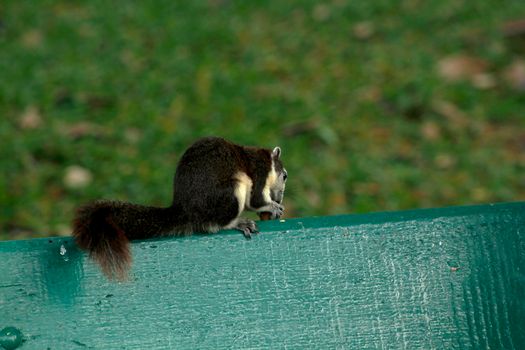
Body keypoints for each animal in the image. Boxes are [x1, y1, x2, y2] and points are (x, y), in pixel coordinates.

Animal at [71, 136, 286, 278]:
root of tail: (185, 210)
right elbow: (256, 200)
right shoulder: (259, 173)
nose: (279, 198)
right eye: (284, 176)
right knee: (215, 224)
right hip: (231, 191)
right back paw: (238, 223)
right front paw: (273, 206)